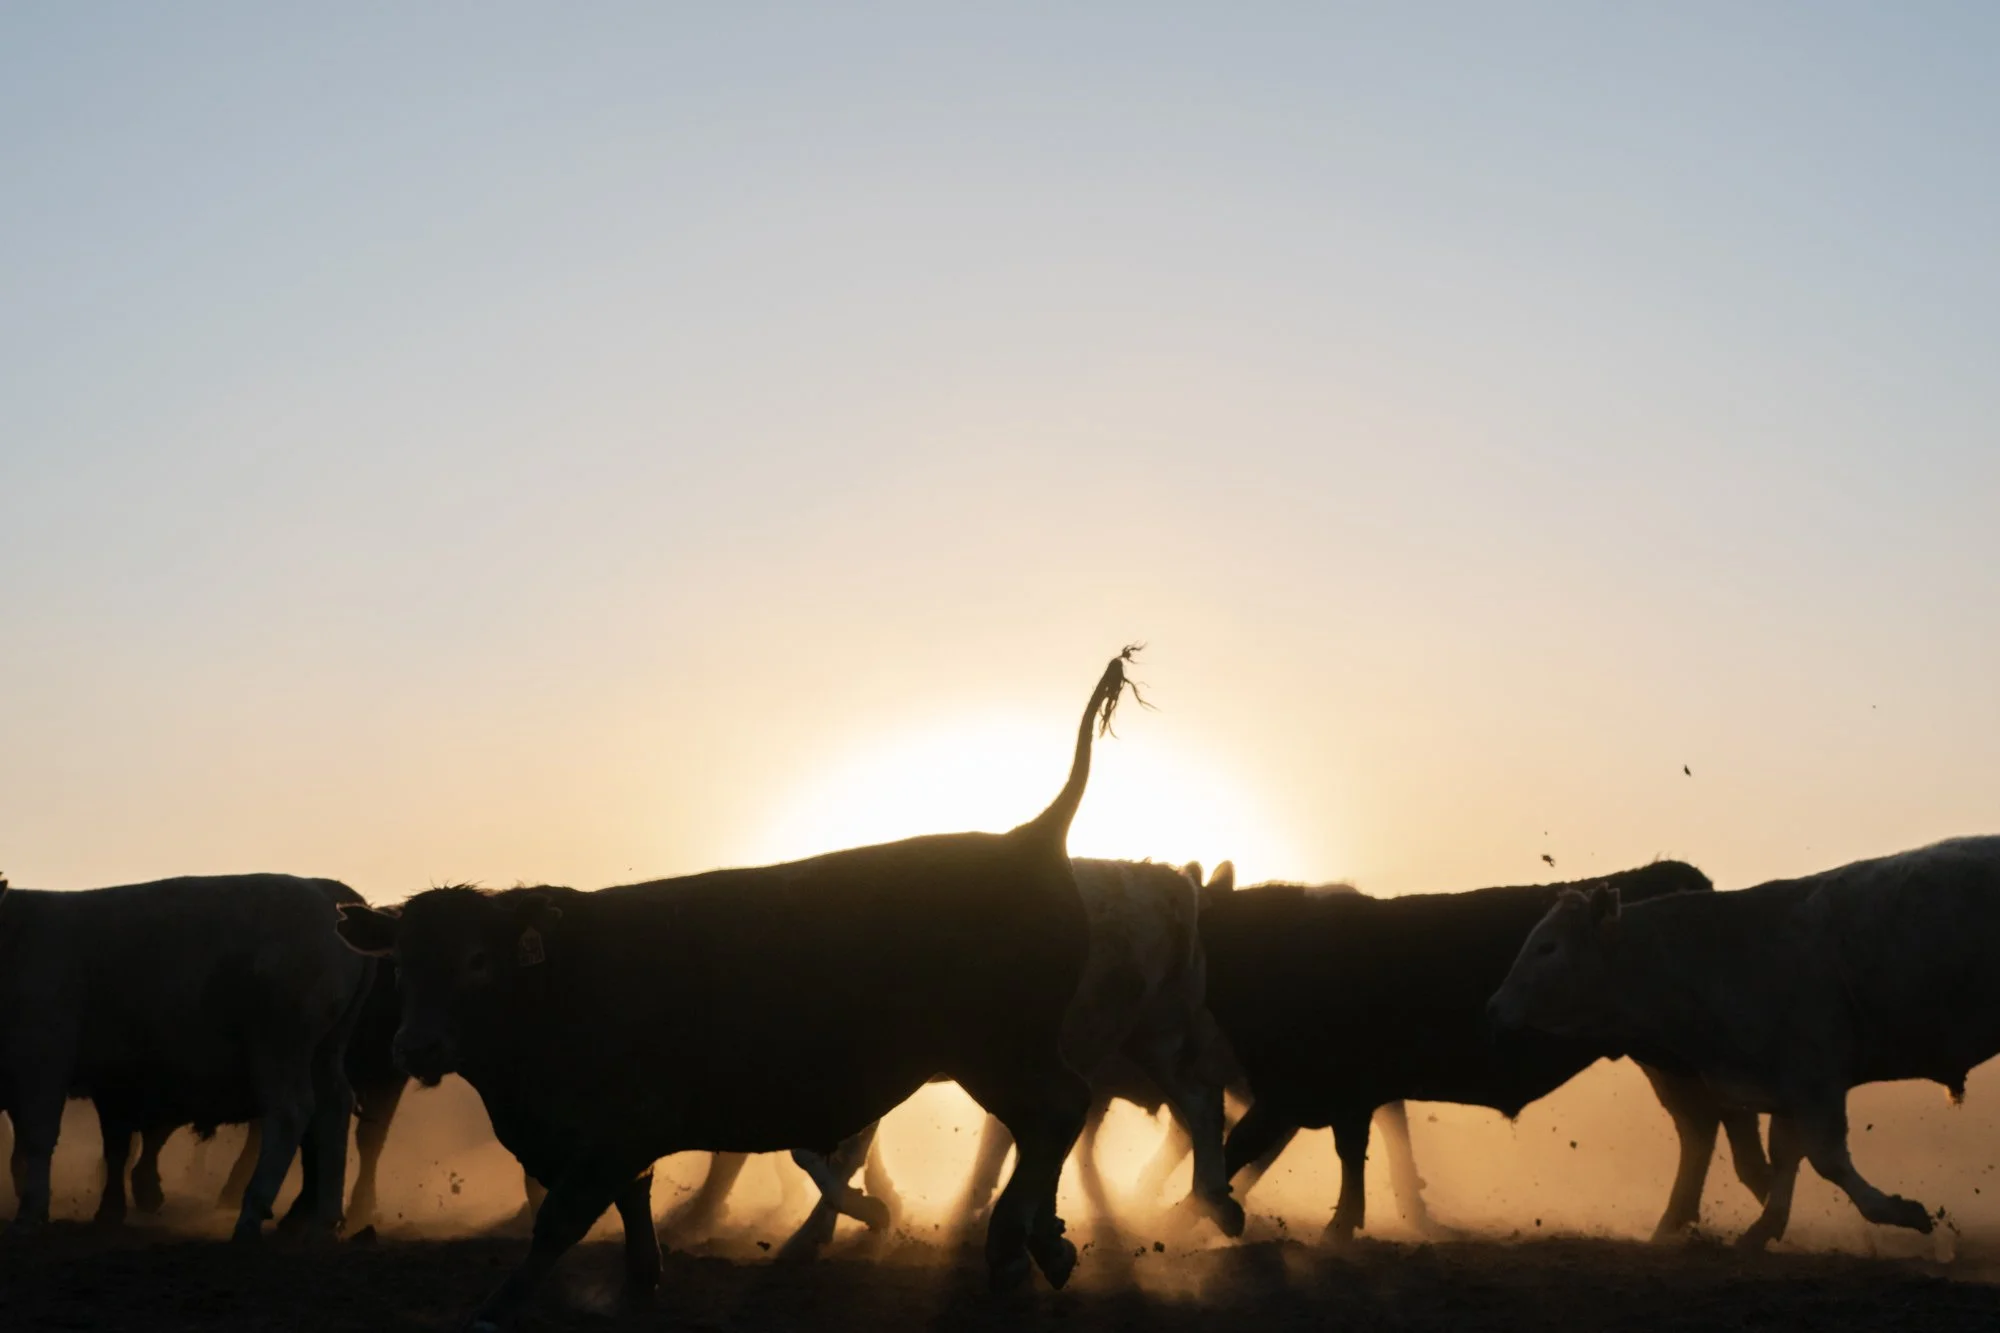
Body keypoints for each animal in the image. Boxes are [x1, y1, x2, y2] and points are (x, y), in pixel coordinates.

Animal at [0, 873, 374, 1239]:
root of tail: (323, 888)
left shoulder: (44, 1055)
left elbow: (37, 1136)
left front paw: (29, 1214)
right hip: (325, 1051)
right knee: (333, 1106)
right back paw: (323, 1221)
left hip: (279, 1045)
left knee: (290, 1112)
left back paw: (251, 1216)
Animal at [335, 648, 1144, 1330]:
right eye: (400, 962)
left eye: (478, 961)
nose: (416, 1046)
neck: (557, 984)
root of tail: (1028, 836)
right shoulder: (609, 1136)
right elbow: (632, 1198)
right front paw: (642, 1276)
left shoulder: (612, 1129)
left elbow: (562, 1219)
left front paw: (496, 1306)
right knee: (1048, 1120)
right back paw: (1043, 1242)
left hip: (998, 1049)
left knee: (1056, 1112)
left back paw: (1010, 1249)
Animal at [1200, 862, 1774, 1243]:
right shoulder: (1333, 1094)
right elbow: (1337, 1152)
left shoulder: (1301, 1091)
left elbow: (1236, 1152)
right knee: (1701, 1123)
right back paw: (1683, 1221)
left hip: (1675, 1055)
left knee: (1718, 1119)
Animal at [1488, 835, 2000, 1250]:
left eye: (1547, 947)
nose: (1495, 1005)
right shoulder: (1783, 1085)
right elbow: (1785, 1158)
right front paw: (1763, 1229)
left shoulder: (1812, 1076)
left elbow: (1826, 1159)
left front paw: (1901, 1212)